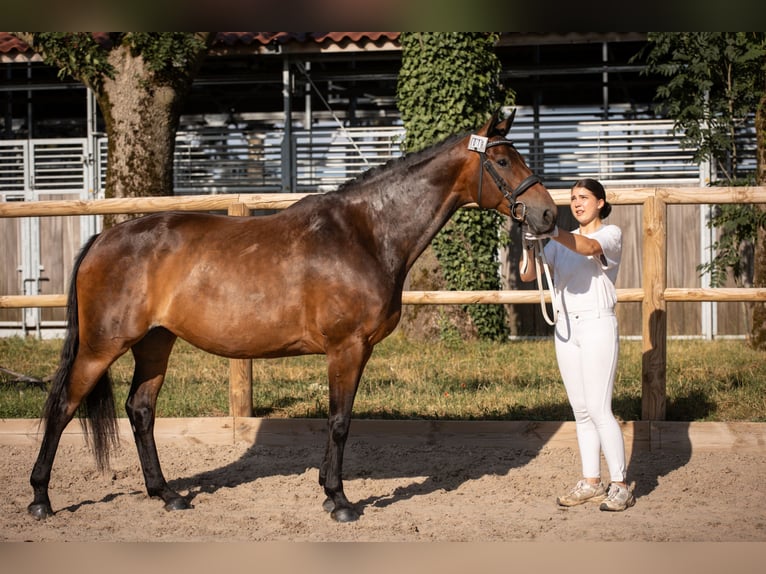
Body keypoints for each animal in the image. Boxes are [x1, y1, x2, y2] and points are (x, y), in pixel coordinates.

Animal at [30, 110, 560, 524]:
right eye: (502, 160)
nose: (548, 216)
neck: (365, 232)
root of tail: (104, 238)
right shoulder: (347, 348)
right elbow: (340, 420)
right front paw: (340, 500)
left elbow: (339, 418)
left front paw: (328, 492)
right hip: (101, 346)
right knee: (62, 407)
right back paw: (41, 499)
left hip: (156, 342)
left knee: (140, 410)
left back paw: (168, 495)